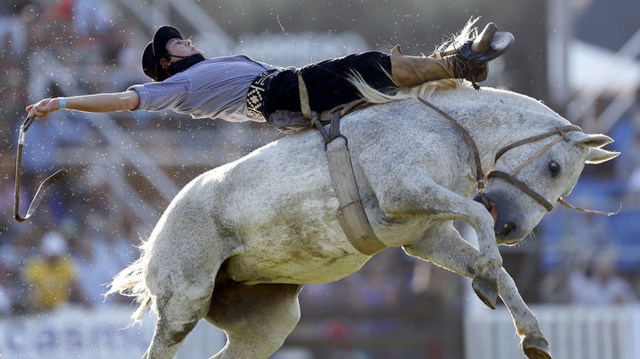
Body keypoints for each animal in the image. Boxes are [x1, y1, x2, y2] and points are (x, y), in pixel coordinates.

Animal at [109, 81, 620, 359]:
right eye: (553, 167)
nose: (512, 228)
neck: (443, 131)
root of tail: (154, 240)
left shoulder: (427, 236)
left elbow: (489, 260)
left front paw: (532, 333)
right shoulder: (402, 191)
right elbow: (477, 217)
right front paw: (488, 276)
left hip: (266, 324)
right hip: (183, 305)